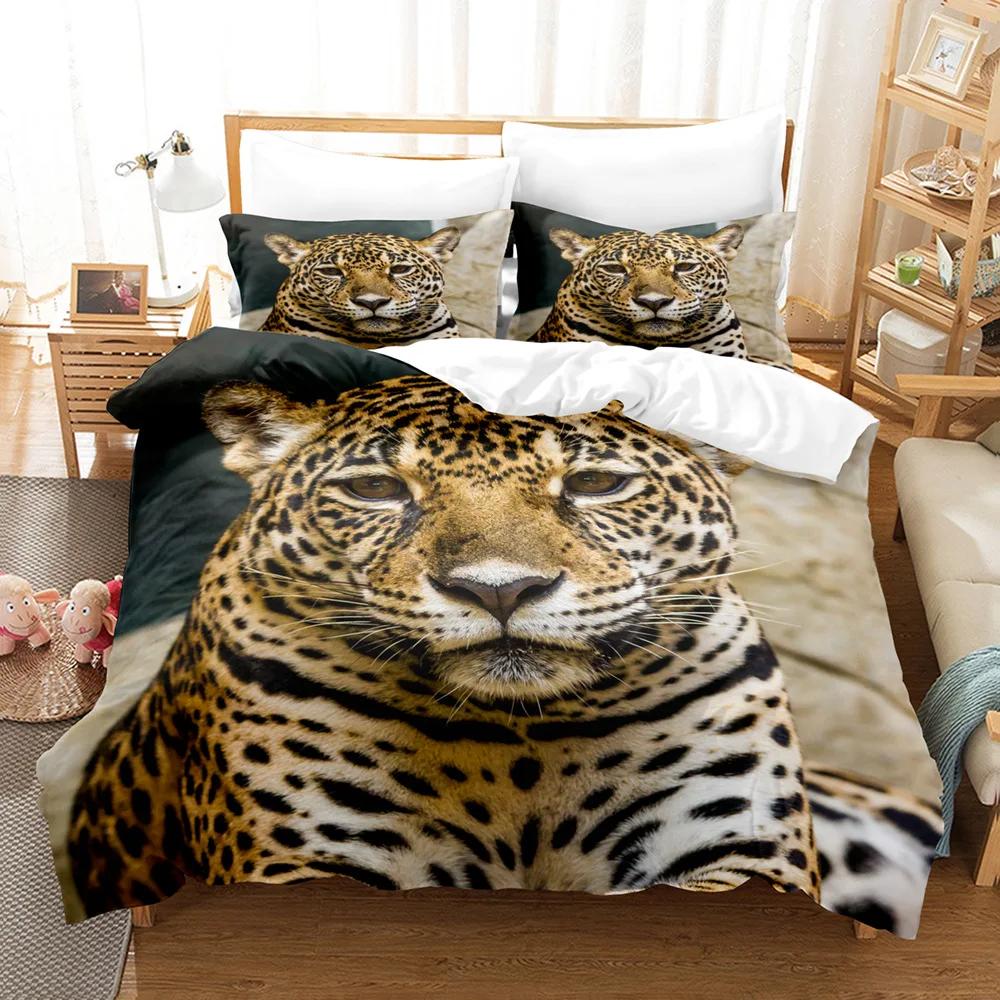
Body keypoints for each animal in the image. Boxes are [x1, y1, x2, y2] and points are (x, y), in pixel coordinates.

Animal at [65, 377, 936, 934]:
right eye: (376, 490)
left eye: (595, 483)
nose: (500, 589)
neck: (522, 740)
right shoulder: (303, 859)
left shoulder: (739, 845)